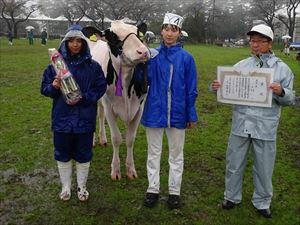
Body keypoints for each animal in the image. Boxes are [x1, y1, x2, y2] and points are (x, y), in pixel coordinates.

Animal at [83, 21, 150, 179]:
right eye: (112, 37)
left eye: (137, 33)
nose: (143, 51)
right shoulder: (109, 107)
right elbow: (117, 138)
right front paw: (115, 170)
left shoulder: (139, 108)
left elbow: (130, 138)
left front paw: (131, 169)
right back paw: (93, 141)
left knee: (100, 115)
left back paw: (102, 139)